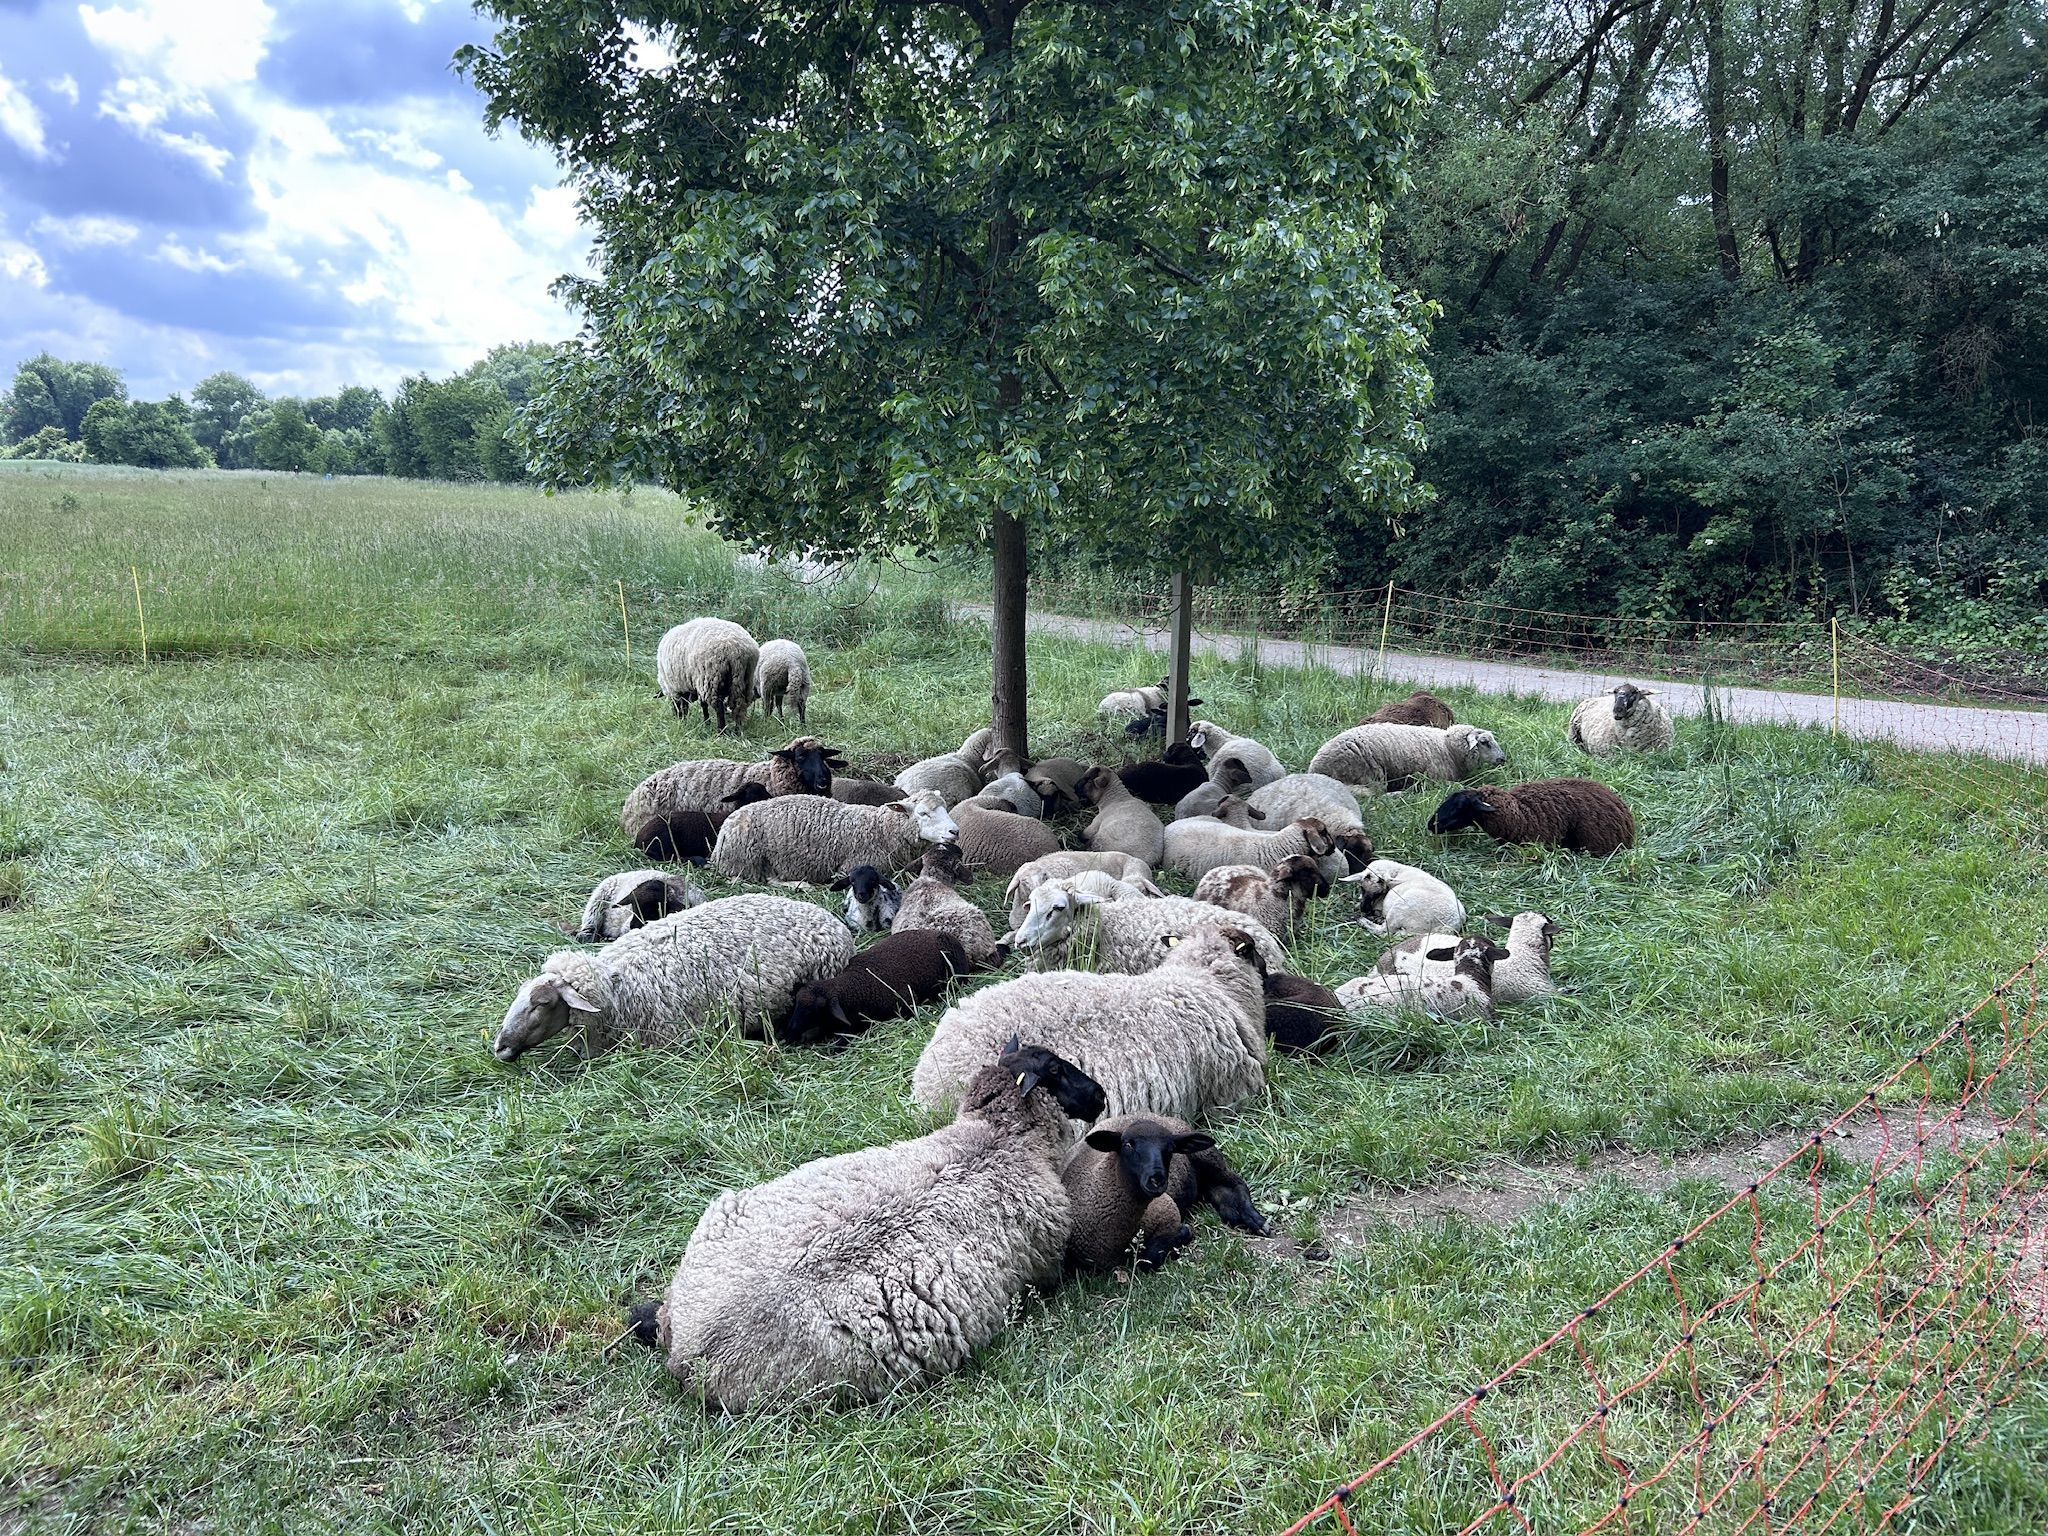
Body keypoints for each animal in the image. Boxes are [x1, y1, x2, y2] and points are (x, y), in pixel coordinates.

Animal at [711, 791, 959, 883]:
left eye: (945, 808)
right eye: (923, 813)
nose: (954, 831)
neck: (880, 830)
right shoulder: (850, 868)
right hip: (744, 864)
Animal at [1062, 1115, 1267, 1273]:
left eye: (1171, 1148)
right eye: (1127, 1144)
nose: (1157, 1179)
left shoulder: (1167, 1210)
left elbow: (1148, 1259)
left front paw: (1181, 1235)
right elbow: (1145, 1261)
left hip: (1206, 1156)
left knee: (1234, 1182)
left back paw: (1254, 1220)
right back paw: (1232, 1212)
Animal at [1308, 722, 1507, 794]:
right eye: (1485, 742)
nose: (1503, 759)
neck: (1447, 746)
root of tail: (1316, 769)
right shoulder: (1435, 778)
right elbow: (1457, 786)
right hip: (1370, 773)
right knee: (1376, 796)